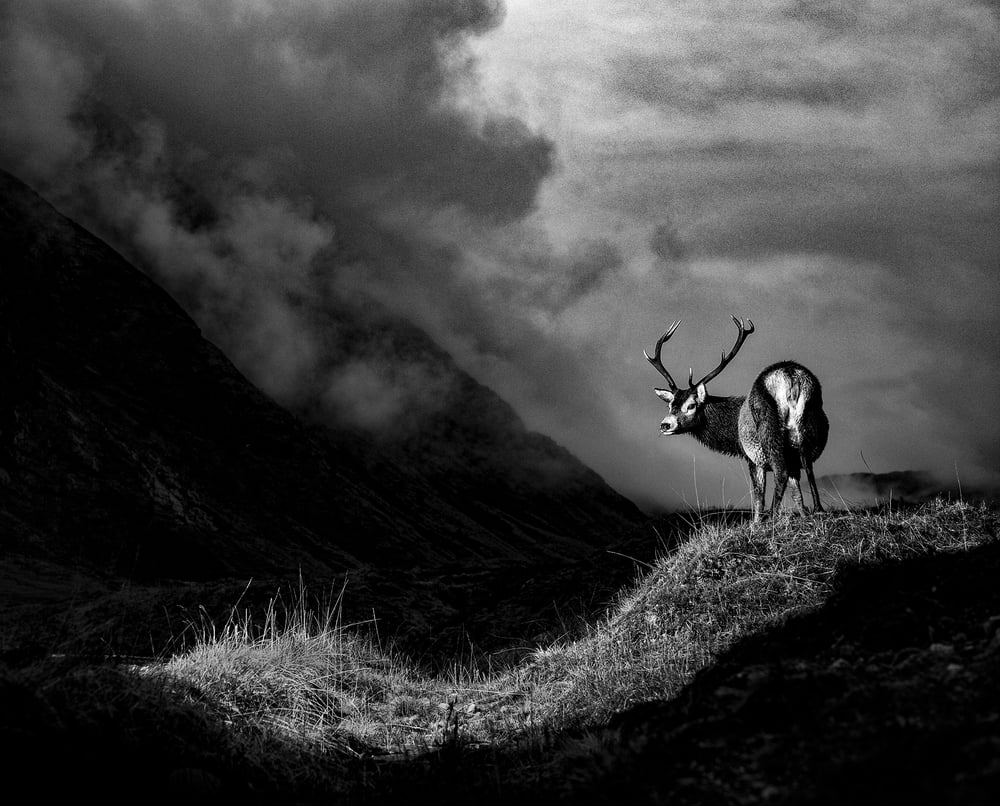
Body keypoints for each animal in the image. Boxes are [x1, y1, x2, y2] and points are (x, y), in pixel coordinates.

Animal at [644, 316, 828, 522]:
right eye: (670, 405)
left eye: (691, 405)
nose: (665, 425)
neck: (733, 437)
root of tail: (790, 376)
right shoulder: (792, 458)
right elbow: (797, 494)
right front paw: (804, 516)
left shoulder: (753, 457)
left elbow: (758, 498)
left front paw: (756, 523)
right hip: (808, 425)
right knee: (808, 465)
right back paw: (819, 509)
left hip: (769, 433)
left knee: (781, 472)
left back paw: (772, 516)